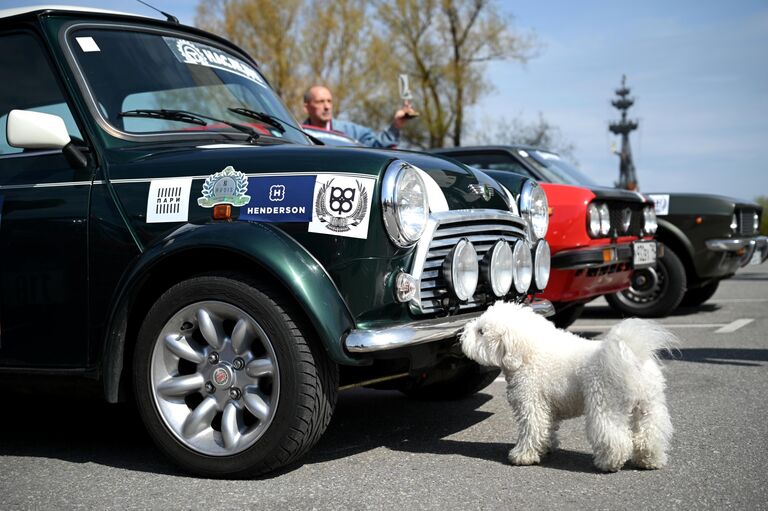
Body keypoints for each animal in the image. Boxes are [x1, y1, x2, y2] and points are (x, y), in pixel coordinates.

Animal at [460, 302, 676, 474]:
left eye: (481, 332)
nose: (462, 335)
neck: (529, 353)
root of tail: (631, 355)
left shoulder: (531, 403)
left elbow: (532, 429)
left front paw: (522, 456)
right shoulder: (547, 406)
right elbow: (547, 428)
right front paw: (545, 447)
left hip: (606, 404)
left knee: (615, 437)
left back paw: (608, 463)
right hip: (649, 404)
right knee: (651, 434)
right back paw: (649, 460)